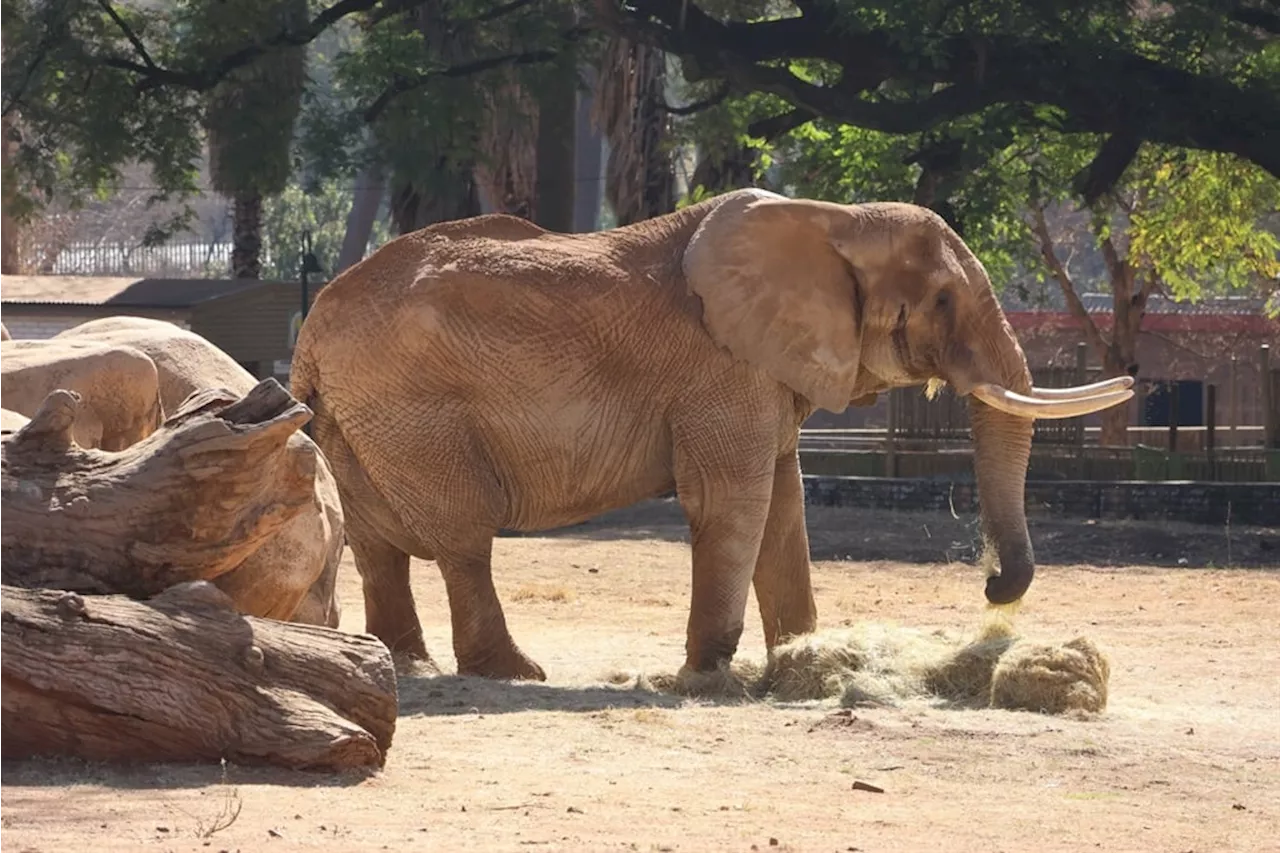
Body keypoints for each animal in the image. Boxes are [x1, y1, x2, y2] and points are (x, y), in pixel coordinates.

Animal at [293, 189, 1131, 681]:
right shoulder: (723, 370)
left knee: (378, 544)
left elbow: (786, 505)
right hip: (413, 410)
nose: (990, 586)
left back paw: (407, 663)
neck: (831, 217)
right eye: (945, 299)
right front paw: (709, 674)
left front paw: (797, 662)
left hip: (362, 419)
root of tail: (311, 326)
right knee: (464, 537)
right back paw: (512, 672)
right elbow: (735, 501)